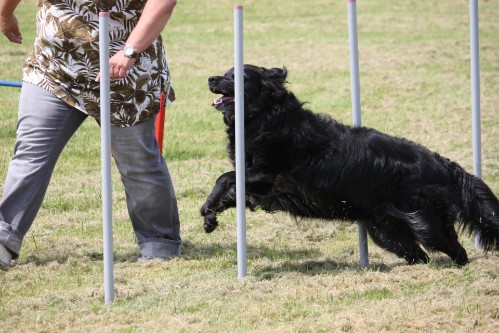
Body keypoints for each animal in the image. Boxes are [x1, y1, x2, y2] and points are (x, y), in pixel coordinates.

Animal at [201, 64, 499, 264]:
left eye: (238, 76)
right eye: (224, 72)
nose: (211, 78)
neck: (266, 117)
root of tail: (443, 164)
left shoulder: (268, 175)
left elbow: (225, 177)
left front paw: (207, 208)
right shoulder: (259, 186)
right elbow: (232, 188)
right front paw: (211, 217)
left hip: (427, 224)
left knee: (457, 250)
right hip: (388, 232)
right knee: (419, 255)